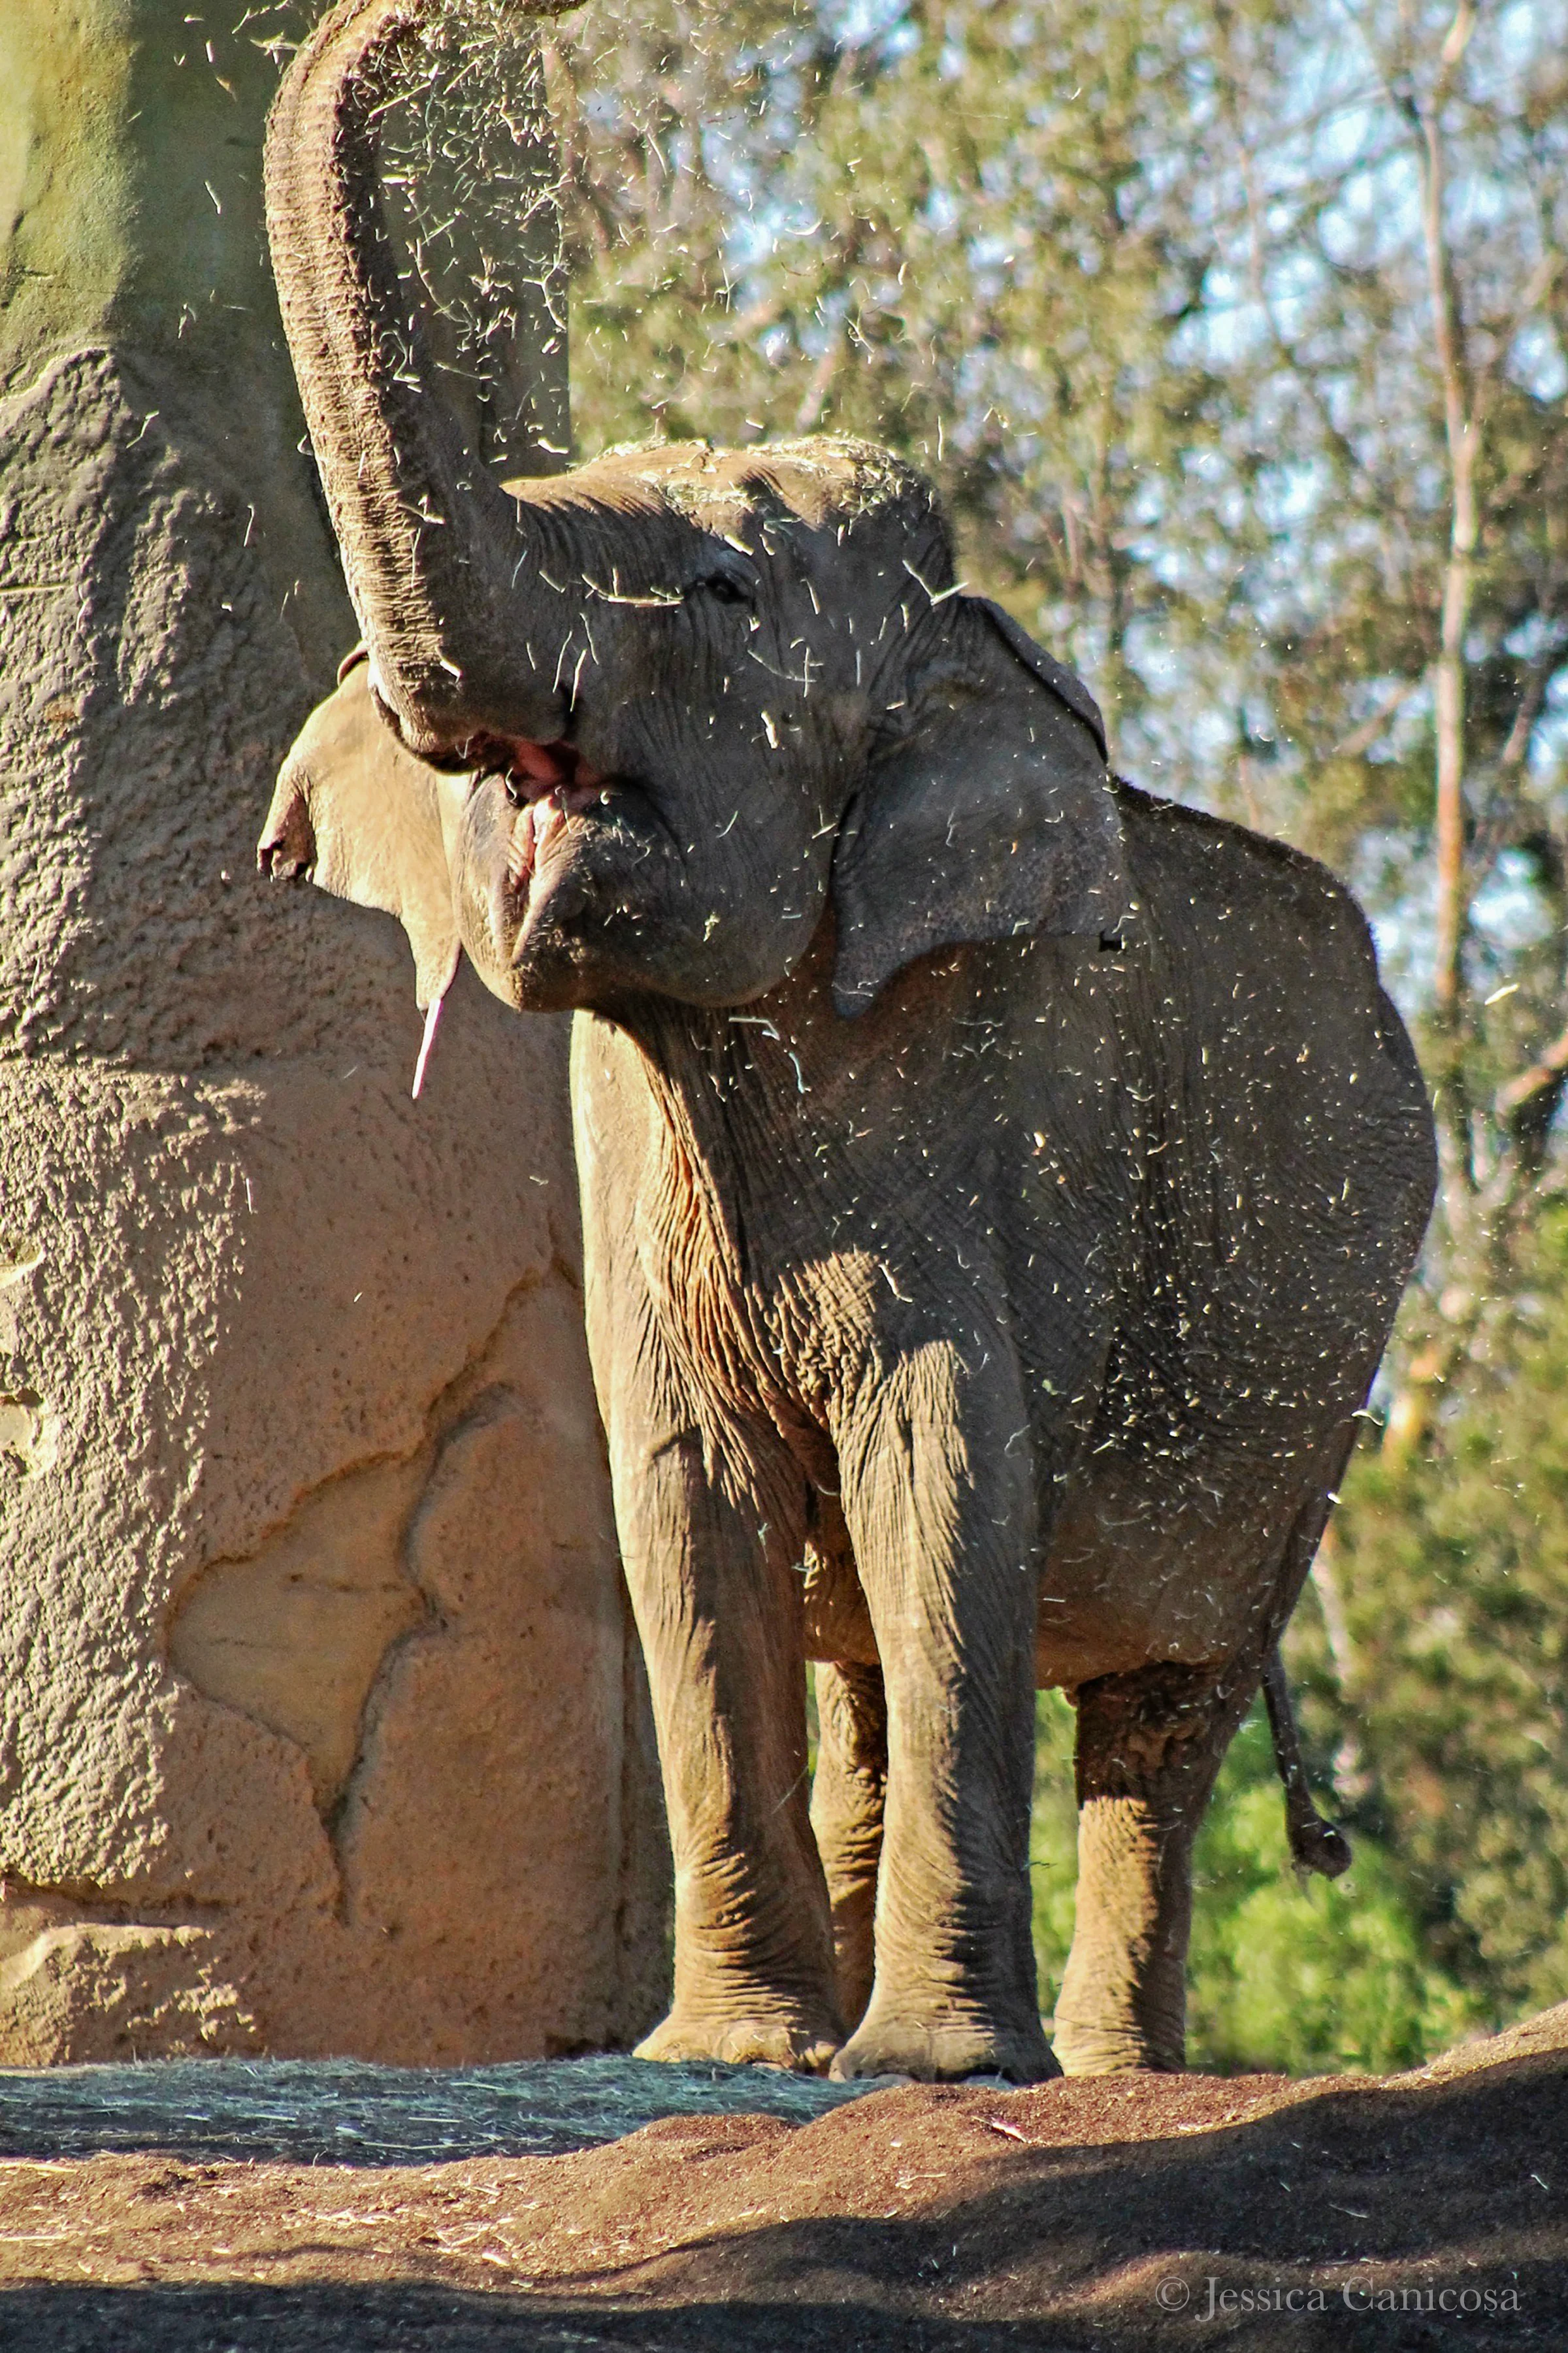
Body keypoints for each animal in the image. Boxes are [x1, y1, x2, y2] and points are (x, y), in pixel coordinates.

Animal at [258, 0, 1436, 2082]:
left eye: (722, 592)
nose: (490, 37)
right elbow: (680, 1503)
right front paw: (736, 2063)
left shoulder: (1000, 1131)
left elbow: (947, 1477)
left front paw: (934, 2074)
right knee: (886, 1677)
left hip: (1307, 1397)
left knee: (1161, 1709)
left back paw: (1108, 2075)